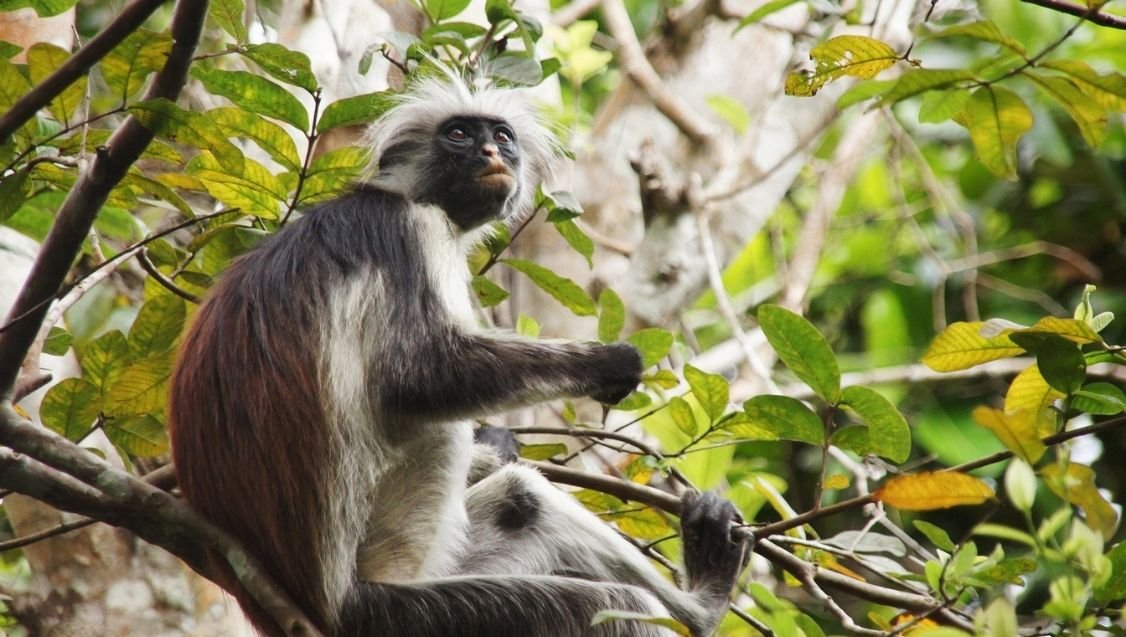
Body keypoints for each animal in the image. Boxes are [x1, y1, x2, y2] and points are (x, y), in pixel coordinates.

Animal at [168, 72, 746, 636]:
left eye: (502, 137)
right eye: (460, 135)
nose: (491, 153)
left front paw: (497, 443)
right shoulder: (410, 230)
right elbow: (420, 377)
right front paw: (608, 364)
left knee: (522, 500)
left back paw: (700, 606)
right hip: (395, 605)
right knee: (611, 601)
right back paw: (701, 606)